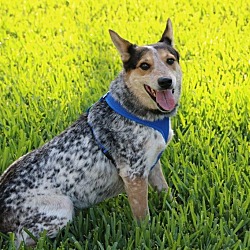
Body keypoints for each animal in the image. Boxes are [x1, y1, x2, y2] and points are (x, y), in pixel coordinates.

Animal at [0, 18, 182, 246]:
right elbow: (143, 217)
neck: (139, 110)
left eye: (170, 60)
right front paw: (147, 237)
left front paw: (176, 211)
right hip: (62, 208)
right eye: (144, 66)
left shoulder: (152, 163)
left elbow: (166, 192)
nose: (166, 81)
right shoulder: (134, 174)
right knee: (19, 241)